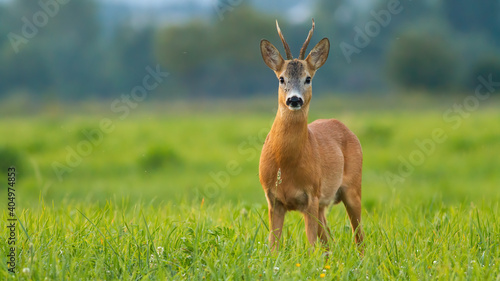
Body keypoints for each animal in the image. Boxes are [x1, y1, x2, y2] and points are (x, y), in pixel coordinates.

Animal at [258, 19, 364, 252]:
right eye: (281, 78)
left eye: (308, 78)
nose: (294, 99)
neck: (285, 163)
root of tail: (345, 127)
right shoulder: (272, 199)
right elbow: (273, 247)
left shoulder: (311, 195)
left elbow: (311, 246)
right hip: (324, 205)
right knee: (330, 242)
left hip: (352, 188)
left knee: (359, 237)